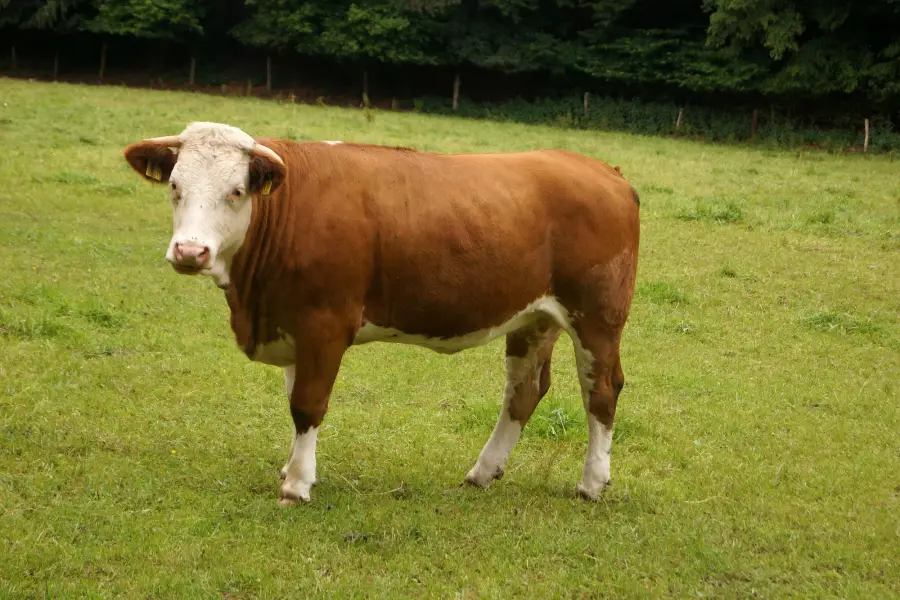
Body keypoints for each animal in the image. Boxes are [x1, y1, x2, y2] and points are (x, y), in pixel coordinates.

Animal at [123, 122, 640, 505]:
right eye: (174, 186)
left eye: (235, 191)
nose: (190, 251)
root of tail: (604, 170)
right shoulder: (292, 323)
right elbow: (294, 399)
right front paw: (292, 468)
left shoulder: (325, 322)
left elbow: (307, 404)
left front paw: (297, 486)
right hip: (534, 319)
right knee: (524, 391)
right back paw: (482, 472)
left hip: (598, 317)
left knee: (601, 391)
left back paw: (591, 483)